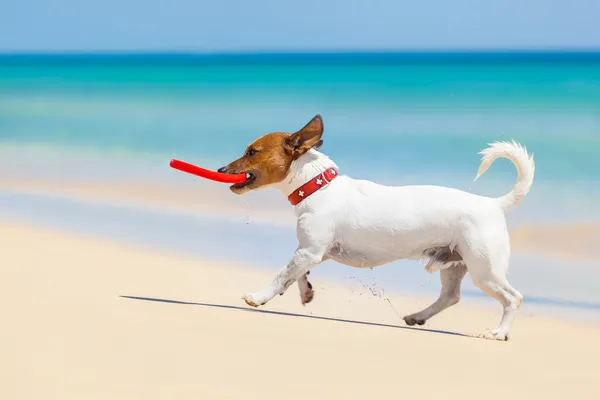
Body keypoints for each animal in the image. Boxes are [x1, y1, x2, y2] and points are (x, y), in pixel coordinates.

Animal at [218, 113, 536, 340]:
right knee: (451, 296)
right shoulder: (314, 252)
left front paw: (259, 297)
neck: (318, 186)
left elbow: (281, 275)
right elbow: (296, 275)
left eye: (252, 151)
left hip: (485, 270)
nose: (221, 170)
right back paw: (418, 316)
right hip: (454, 263)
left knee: (513, 298)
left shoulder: (309, 250)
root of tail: (494, 204)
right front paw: (305, 292)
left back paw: (498, 332)